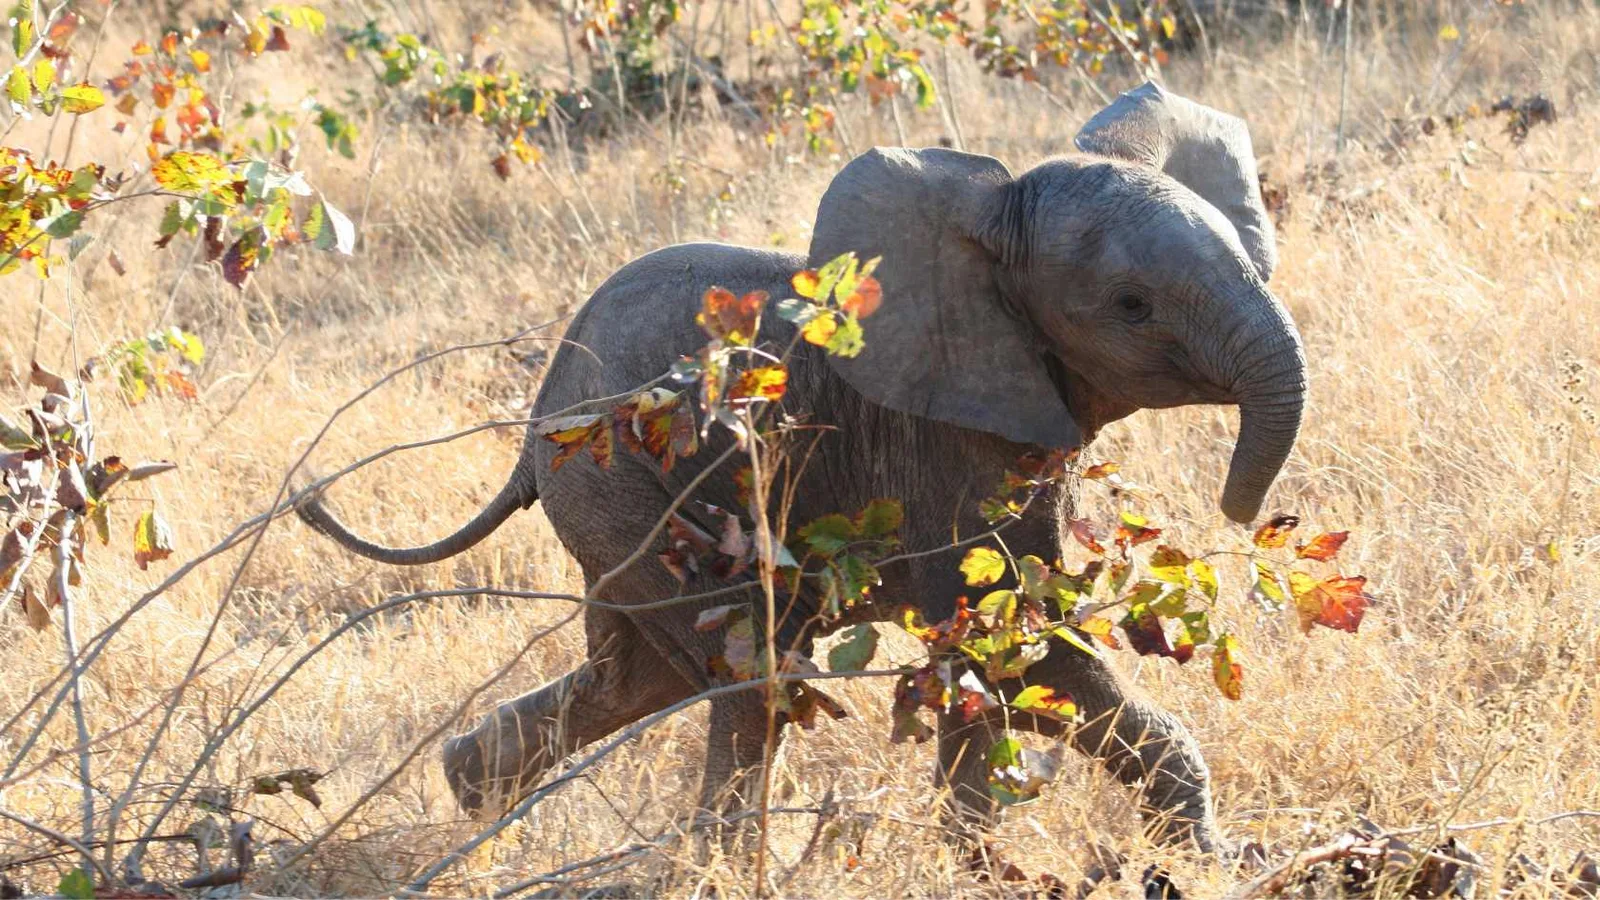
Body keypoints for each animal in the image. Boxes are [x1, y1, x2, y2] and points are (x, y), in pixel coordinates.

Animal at [297, 80, 1300, 855]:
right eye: (1132, 305)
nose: (1241, 511)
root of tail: (534, 422)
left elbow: (1013, 638)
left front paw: (1212, 859)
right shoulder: (937, 436)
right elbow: (1008, 634)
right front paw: (990, 865)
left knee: (642, 678)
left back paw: (469, 792)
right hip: (618, 487)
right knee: (754, 675)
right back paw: (711, 864)